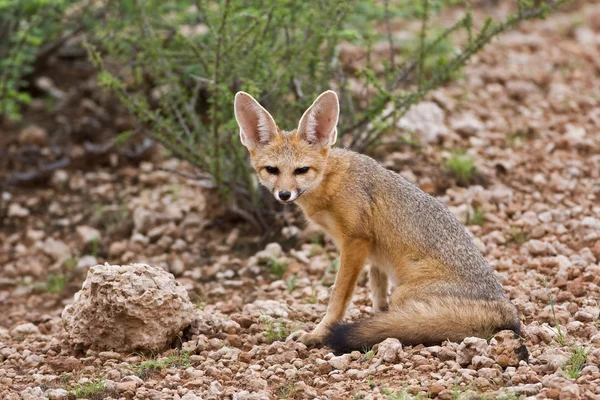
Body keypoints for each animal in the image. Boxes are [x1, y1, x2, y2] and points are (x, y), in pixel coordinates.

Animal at [234, 89, 520, 352]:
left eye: (301, 170)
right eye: (272, 170)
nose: (284, 195)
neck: (331, 183)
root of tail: (507, 308)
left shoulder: (355, 242)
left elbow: (338, 297)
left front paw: (318, 334)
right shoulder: (373, 254)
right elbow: (377, 297)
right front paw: (374, 324)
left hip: (404, 293)